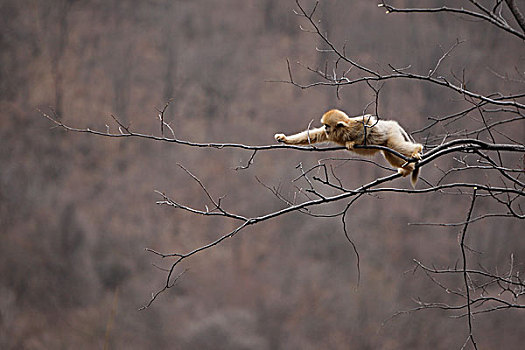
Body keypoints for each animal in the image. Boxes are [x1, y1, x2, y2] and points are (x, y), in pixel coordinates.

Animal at [274, 109, 422, 187]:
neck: (342, 132)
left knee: (394, 145)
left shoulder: (354, 124)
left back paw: (417, 150)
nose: (326, 129)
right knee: (389, 152)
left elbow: (367, 120)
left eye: (327, 125)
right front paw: (283, 138)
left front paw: (352, 142)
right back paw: (409, 168)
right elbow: (312, 135)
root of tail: (392, 124)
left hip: (391, 132)